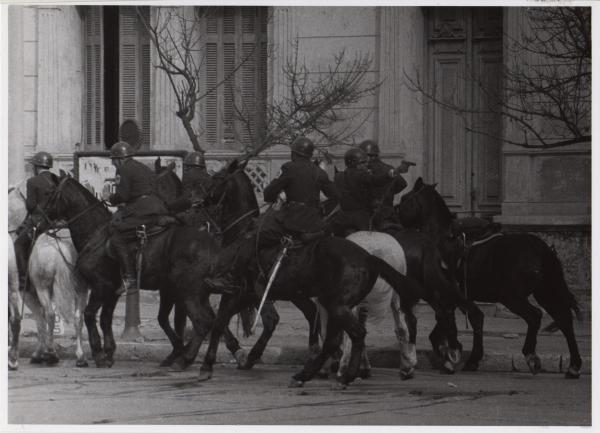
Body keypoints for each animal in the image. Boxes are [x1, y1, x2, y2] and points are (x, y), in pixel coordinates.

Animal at [8, 181, 89, 366]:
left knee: (50, 315)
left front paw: (39, 352)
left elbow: (39, 320)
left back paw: (51, 353)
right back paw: (80, 356)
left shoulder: (28, 293)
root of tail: (60, 247)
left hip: (41, 288)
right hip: (81, 290)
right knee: (78, 317)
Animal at [398, 177, 580, 376]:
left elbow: (451, 320)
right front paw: (459, 355)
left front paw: (453, 354)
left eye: (405, 198)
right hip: (545, 293)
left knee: (535, 316)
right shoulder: (457, 296)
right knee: (564, 320)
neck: (442, 239)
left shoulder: (447, 295)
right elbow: (460, 322)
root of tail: (542, 249)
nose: (393, 215)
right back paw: (573, 366)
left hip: (512, 297)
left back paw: (531, 355)